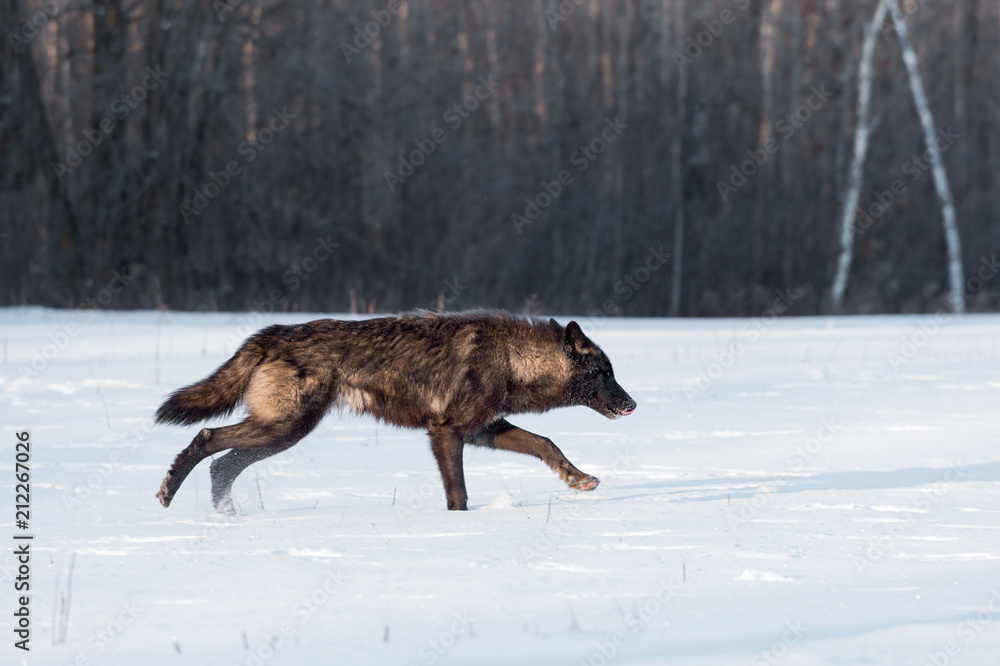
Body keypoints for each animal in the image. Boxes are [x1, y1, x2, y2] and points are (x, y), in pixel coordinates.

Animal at [154, 310, 636, 513]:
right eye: (605, 373)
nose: (632, 404)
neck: (509, 358)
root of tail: (270, 334)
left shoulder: (482, 430)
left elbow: (545, 443)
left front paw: (578, 479)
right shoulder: (446, 432)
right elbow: (458, 495)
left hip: (282, 433)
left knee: (222, 464)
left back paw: (226, 516)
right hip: (284, 428)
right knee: (208, 440)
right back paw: (169, 492)